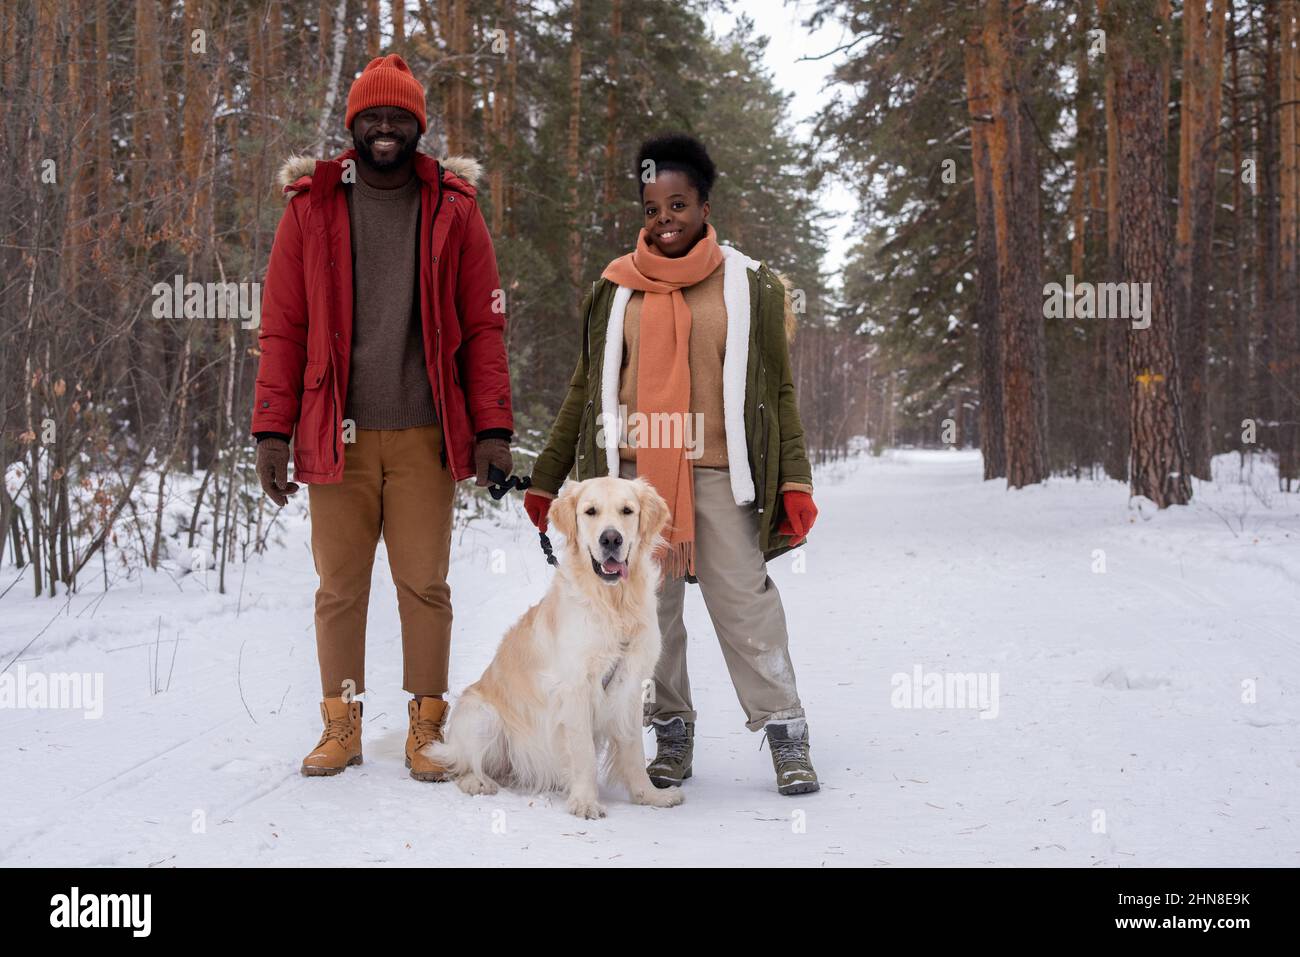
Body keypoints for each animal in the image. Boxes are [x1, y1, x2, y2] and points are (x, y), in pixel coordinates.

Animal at [426, 475, 691, 816]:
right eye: (590, 511)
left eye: (627, 511)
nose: (611, 539)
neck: (613, 604)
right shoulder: (575, 688)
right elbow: (583, 753)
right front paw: (585, 802)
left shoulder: (630, 685)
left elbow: (632, 751)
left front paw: (649, 796)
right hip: (482, 716)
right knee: (463, 764)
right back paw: (478, 782)